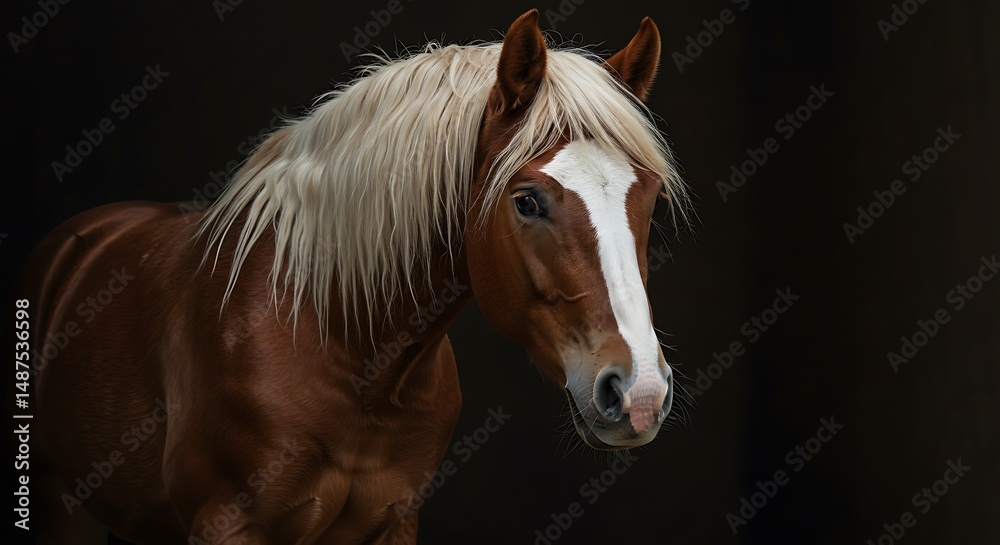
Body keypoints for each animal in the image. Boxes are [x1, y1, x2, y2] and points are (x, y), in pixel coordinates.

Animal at [22, 9, 687, 544]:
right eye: (527, 201)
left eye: (650, 197)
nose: (639, 394)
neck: (341, 346)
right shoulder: (228, 525)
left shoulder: (392, 522)